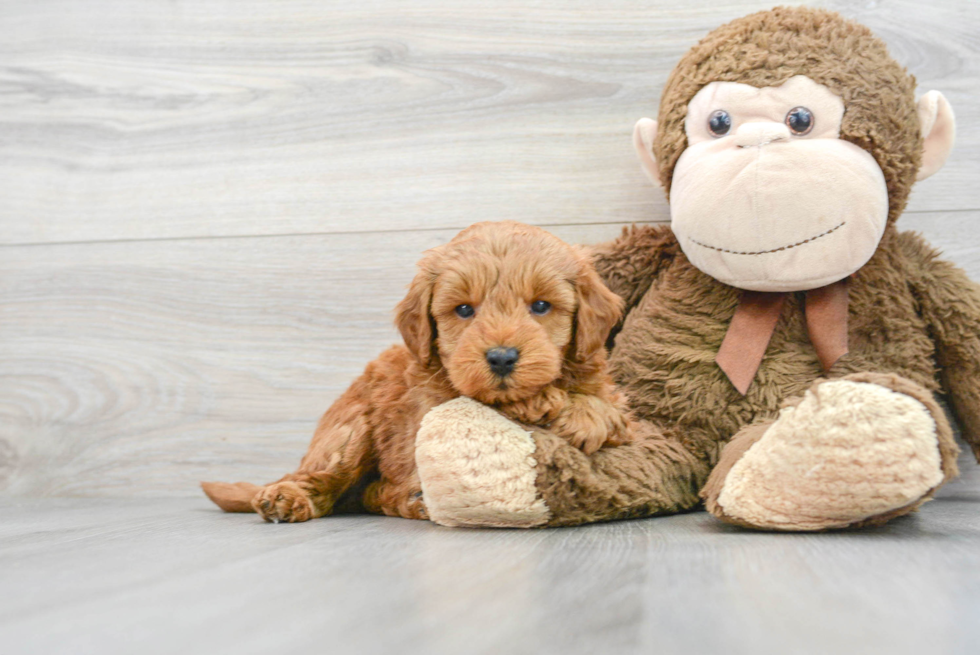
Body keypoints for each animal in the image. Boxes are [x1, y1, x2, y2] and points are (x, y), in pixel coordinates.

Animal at [203, 223, 632, 524]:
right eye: (464, 310)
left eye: (541, 306)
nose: (501, 358)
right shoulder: (438, 406)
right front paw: (554, 404)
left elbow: (611, 408)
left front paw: (587, 411)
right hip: (350, 432)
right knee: (320, 479)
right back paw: (287, 497)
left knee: (370, 494)